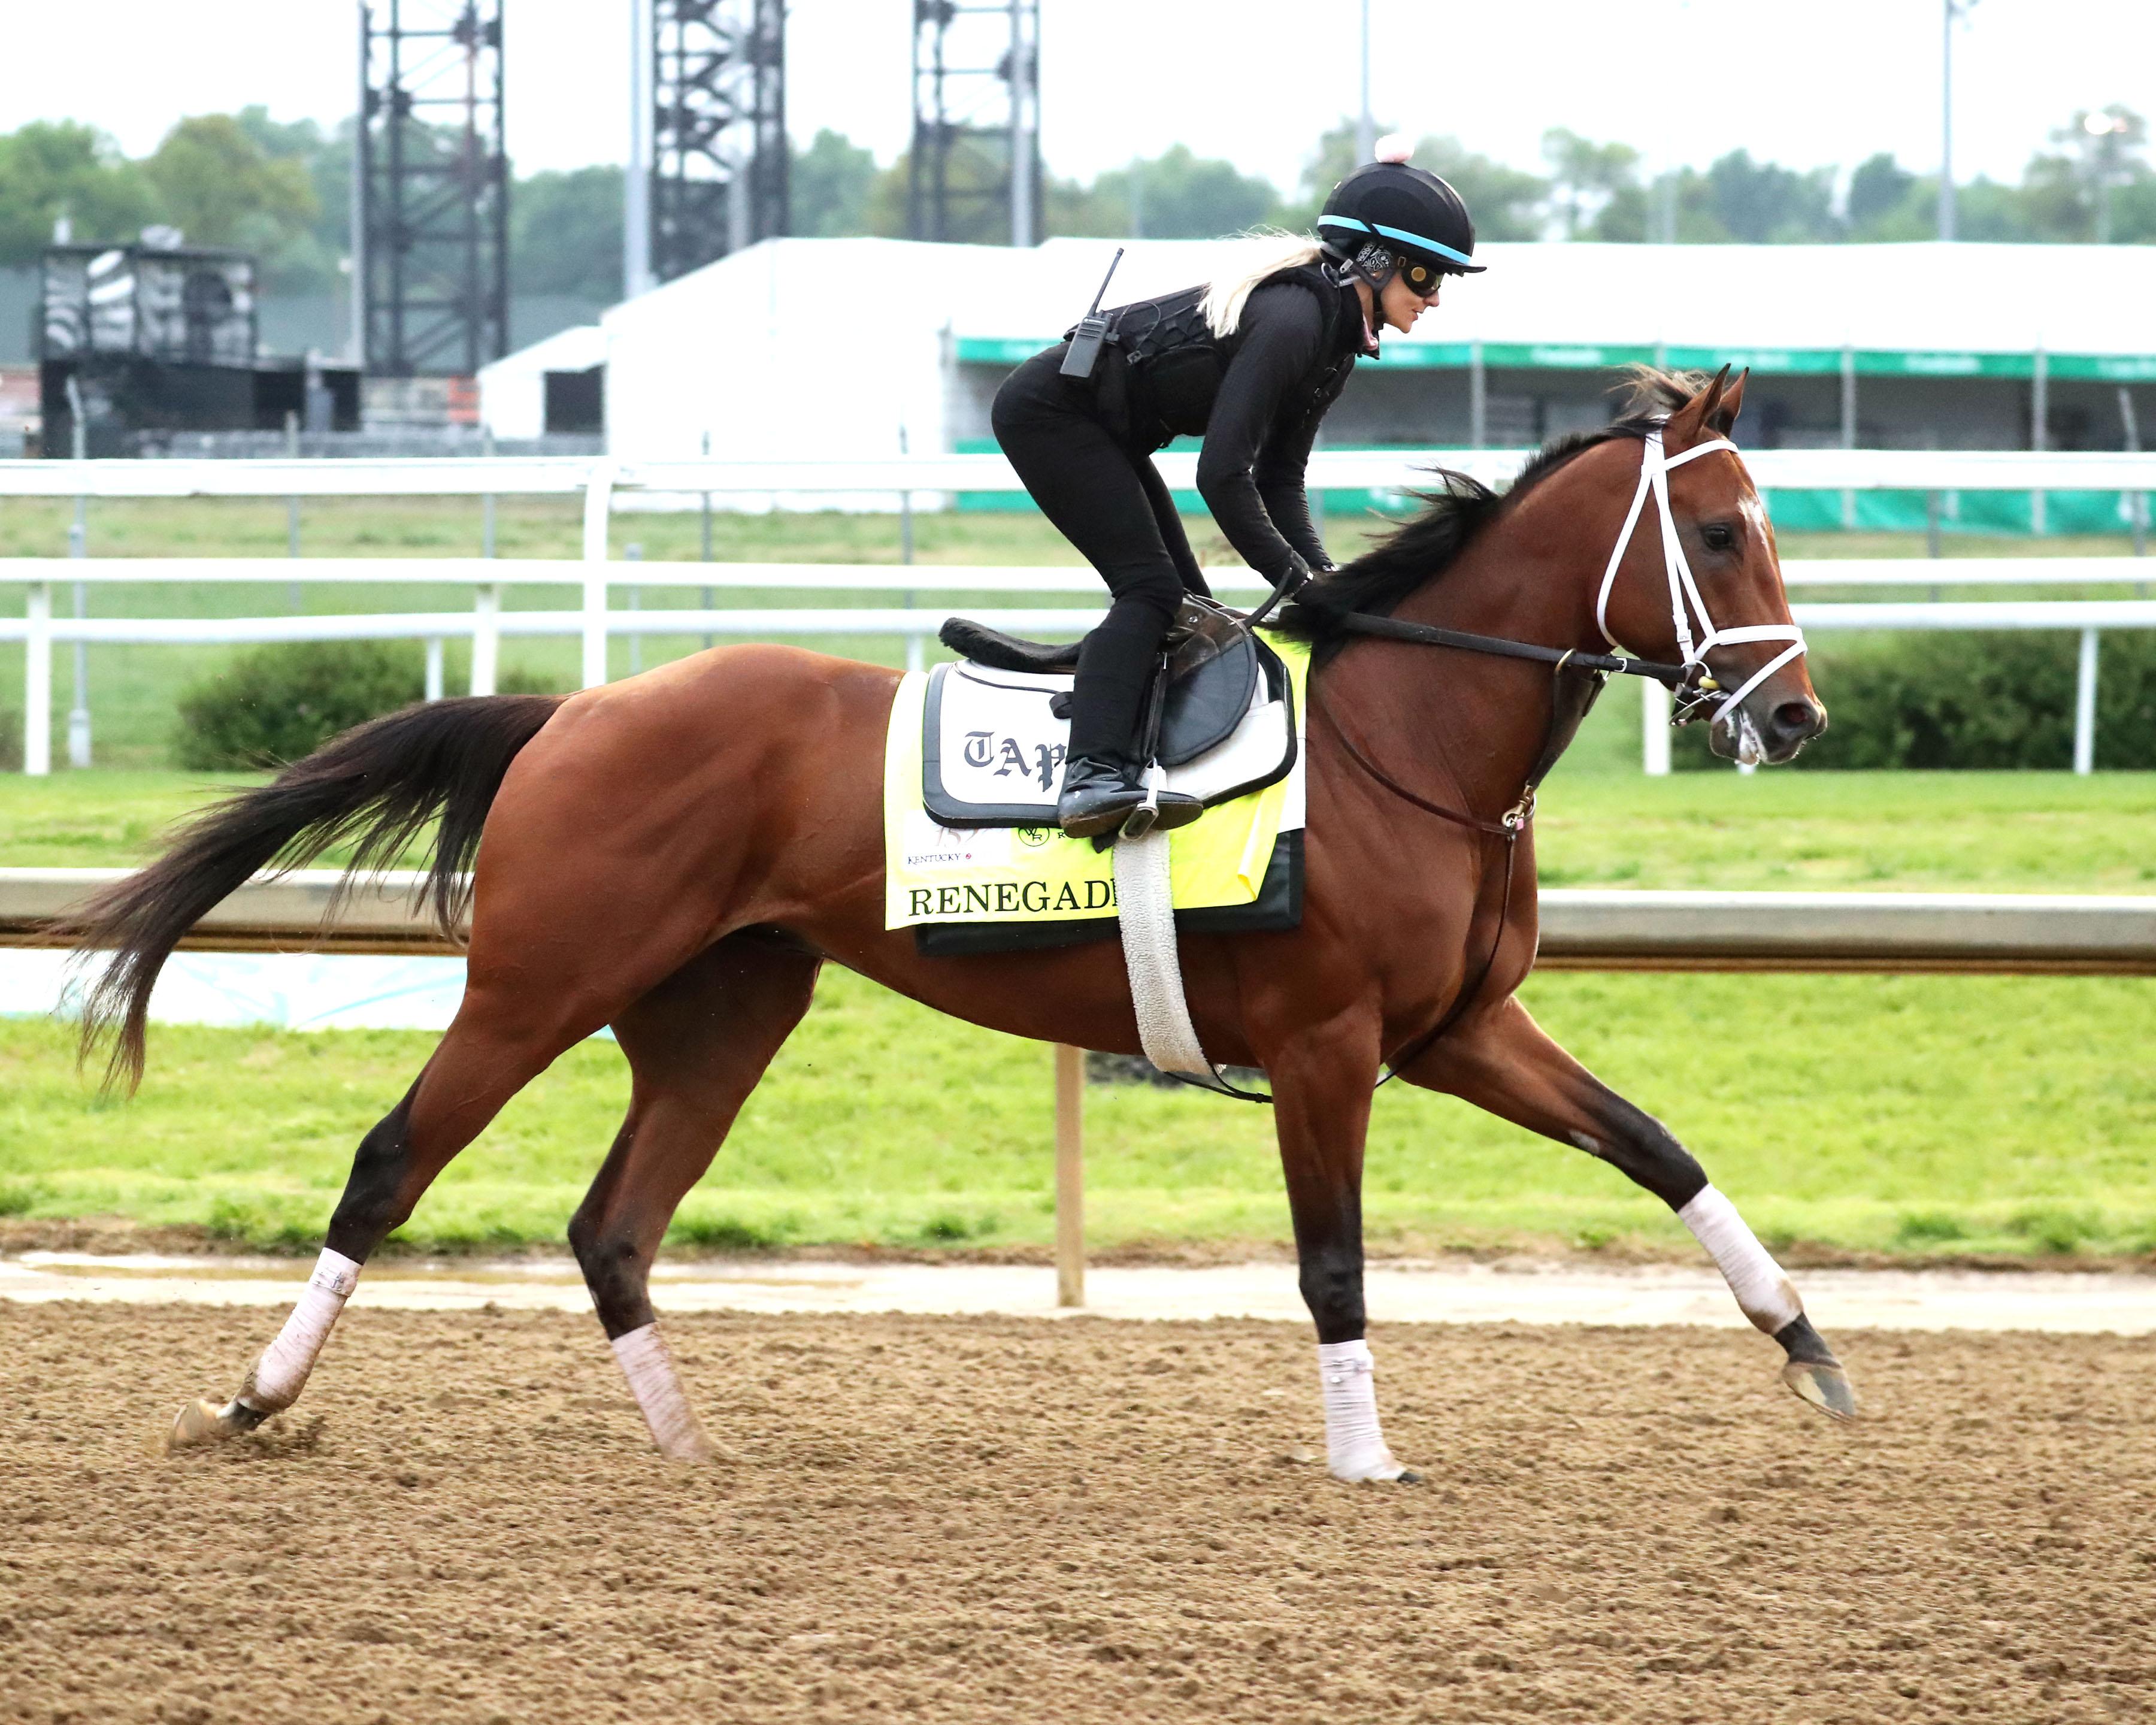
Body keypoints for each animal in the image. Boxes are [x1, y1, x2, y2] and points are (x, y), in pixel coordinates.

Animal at [68, 366, 1852, 1483]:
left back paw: (689, 1451)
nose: (1797, 717)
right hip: (539, 980)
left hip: (724, 1007)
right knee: (393, 1163)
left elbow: (1660, 1150)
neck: (1405, 747)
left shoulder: (1458, 1030)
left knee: (614, 1225)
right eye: (1717, 535)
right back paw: (255, 1399)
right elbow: (1334, 1259)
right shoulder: (1328, 1045)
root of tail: (572, 710)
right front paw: (1364, 1457)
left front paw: (1807, 1346)